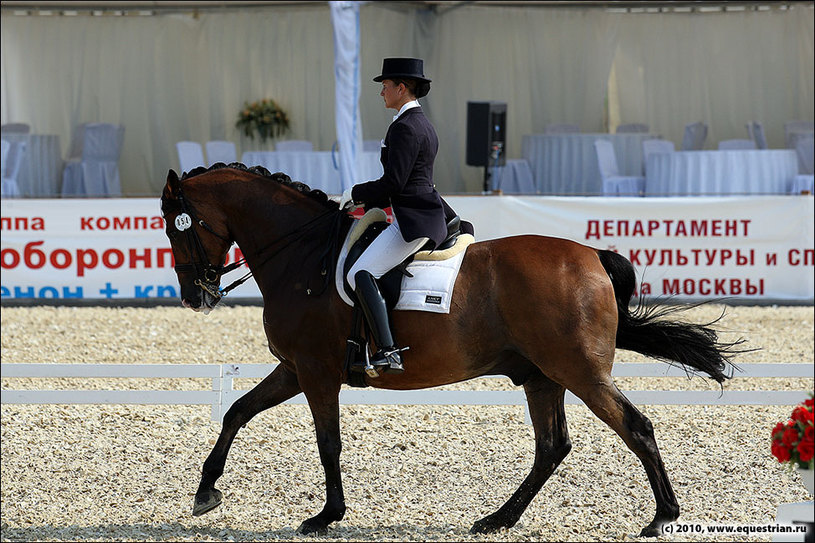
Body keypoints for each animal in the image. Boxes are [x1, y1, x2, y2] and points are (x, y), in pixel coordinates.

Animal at [159, 164, 744, 536]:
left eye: (175, 225)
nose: (194, 296)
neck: (303, 255)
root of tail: (593, 256)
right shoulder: (294, 368)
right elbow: (236, 411)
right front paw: (206, 492)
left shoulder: (315, 370)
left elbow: (328, 443)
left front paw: (325, 516)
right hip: (541, 375)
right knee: (552, 446)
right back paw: (497, 519)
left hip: (578, 371)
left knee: (634, 427)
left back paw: (662, 516)